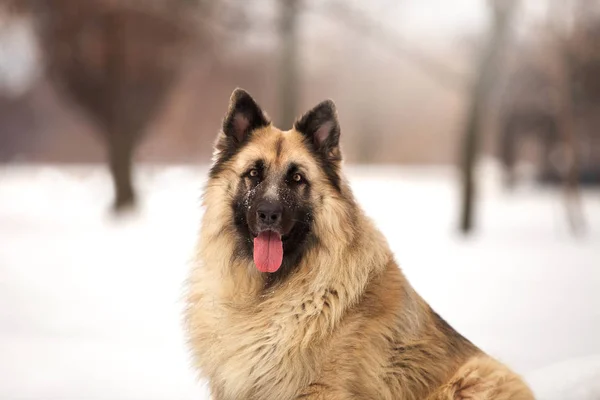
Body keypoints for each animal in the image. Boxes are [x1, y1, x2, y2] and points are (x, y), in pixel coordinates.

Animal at [184, 89, 536, 398]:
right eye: (254, 174)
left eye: (297, 179)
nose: (268, 214)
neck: (266, 292)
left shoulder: (319, 389)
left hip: (474, 377)